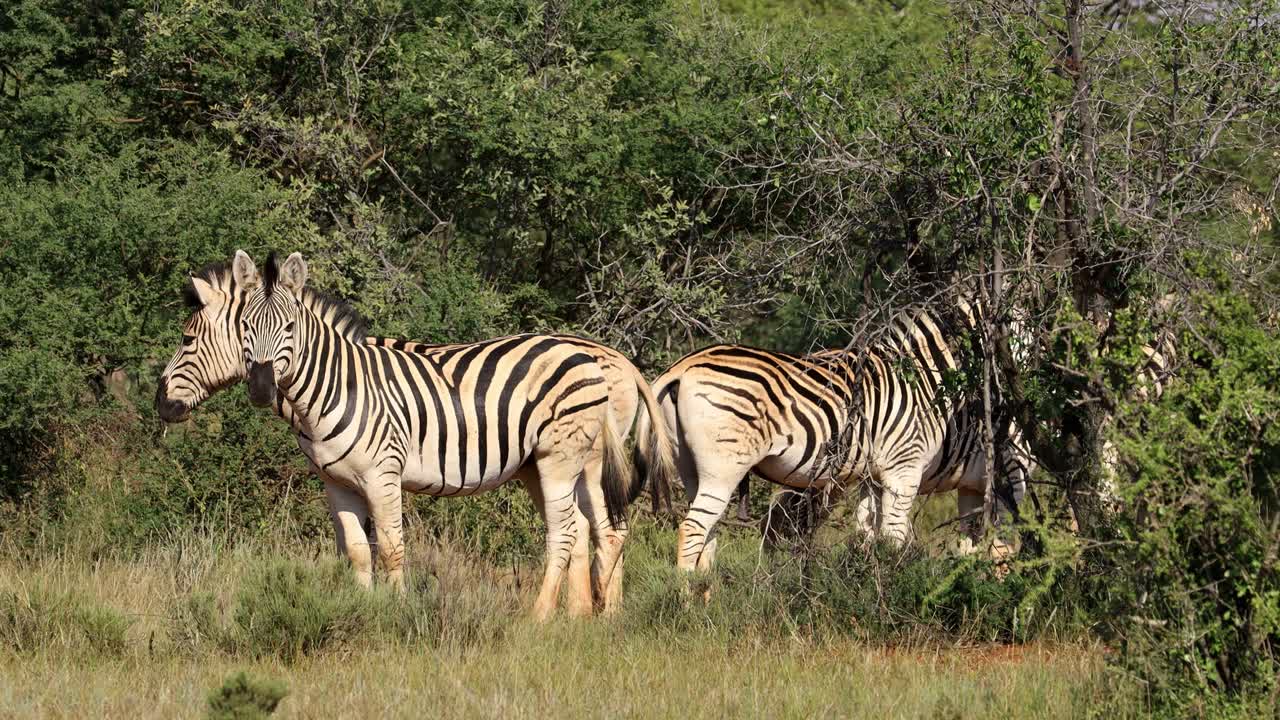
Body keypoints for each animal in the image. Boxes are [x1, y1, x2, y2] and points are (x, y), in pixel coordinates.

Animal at [157, 252, 674, 618]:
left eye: (186, 339)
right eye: (245, 329)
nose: (261, 389)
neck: (332, 385)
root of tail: (604, 354)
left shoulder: (383, 474)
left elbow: (391, 546)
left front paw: (398, 614)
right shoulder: (336, 483)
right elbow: (357, 551)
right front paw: (361, 613)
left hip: (563, 457)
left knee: (569, 531)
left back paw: (544, 617)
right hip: (554, 464)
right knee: (594, 528)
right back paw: (587, 616)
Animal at [640, 301, 1030, 572]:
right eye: (1022, 339)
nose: (1023, 392)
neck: (927, 380)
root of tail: (680, 368)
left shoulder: (880, 476)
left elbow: (870, 535)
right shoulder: (908, 470)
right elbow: (899, 538)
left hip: (691, 467)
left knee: (707, 532)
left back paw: (707, 598)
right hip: (723, 468)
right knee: (693, 529)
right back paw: (687, 606)